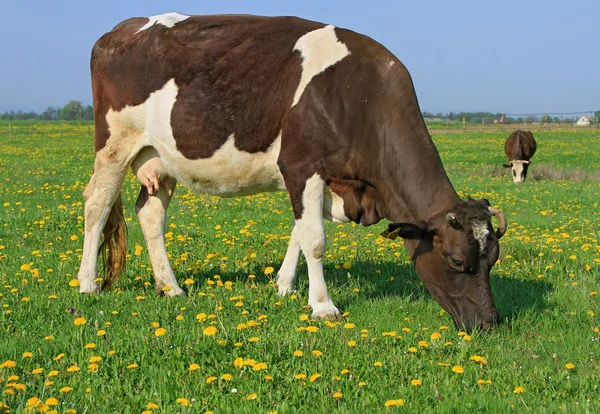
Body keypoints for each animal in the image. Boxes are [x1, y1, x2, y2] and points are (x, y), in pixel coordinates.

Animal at [78, 12, 506, 334]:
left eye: (492, 261)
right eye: (456, 261)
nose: (488, 323)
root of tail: (123, 27)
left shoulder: (323, 181)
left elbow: (300, 232)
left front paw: (284, 286)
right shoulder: (301, 165)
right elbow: (314, 239)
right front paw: (323, 306)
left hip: (160, 158)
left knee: (151, 214)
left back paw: (171, 288)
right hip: (114, 143)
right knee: (97, 205)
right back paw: (88, 284)